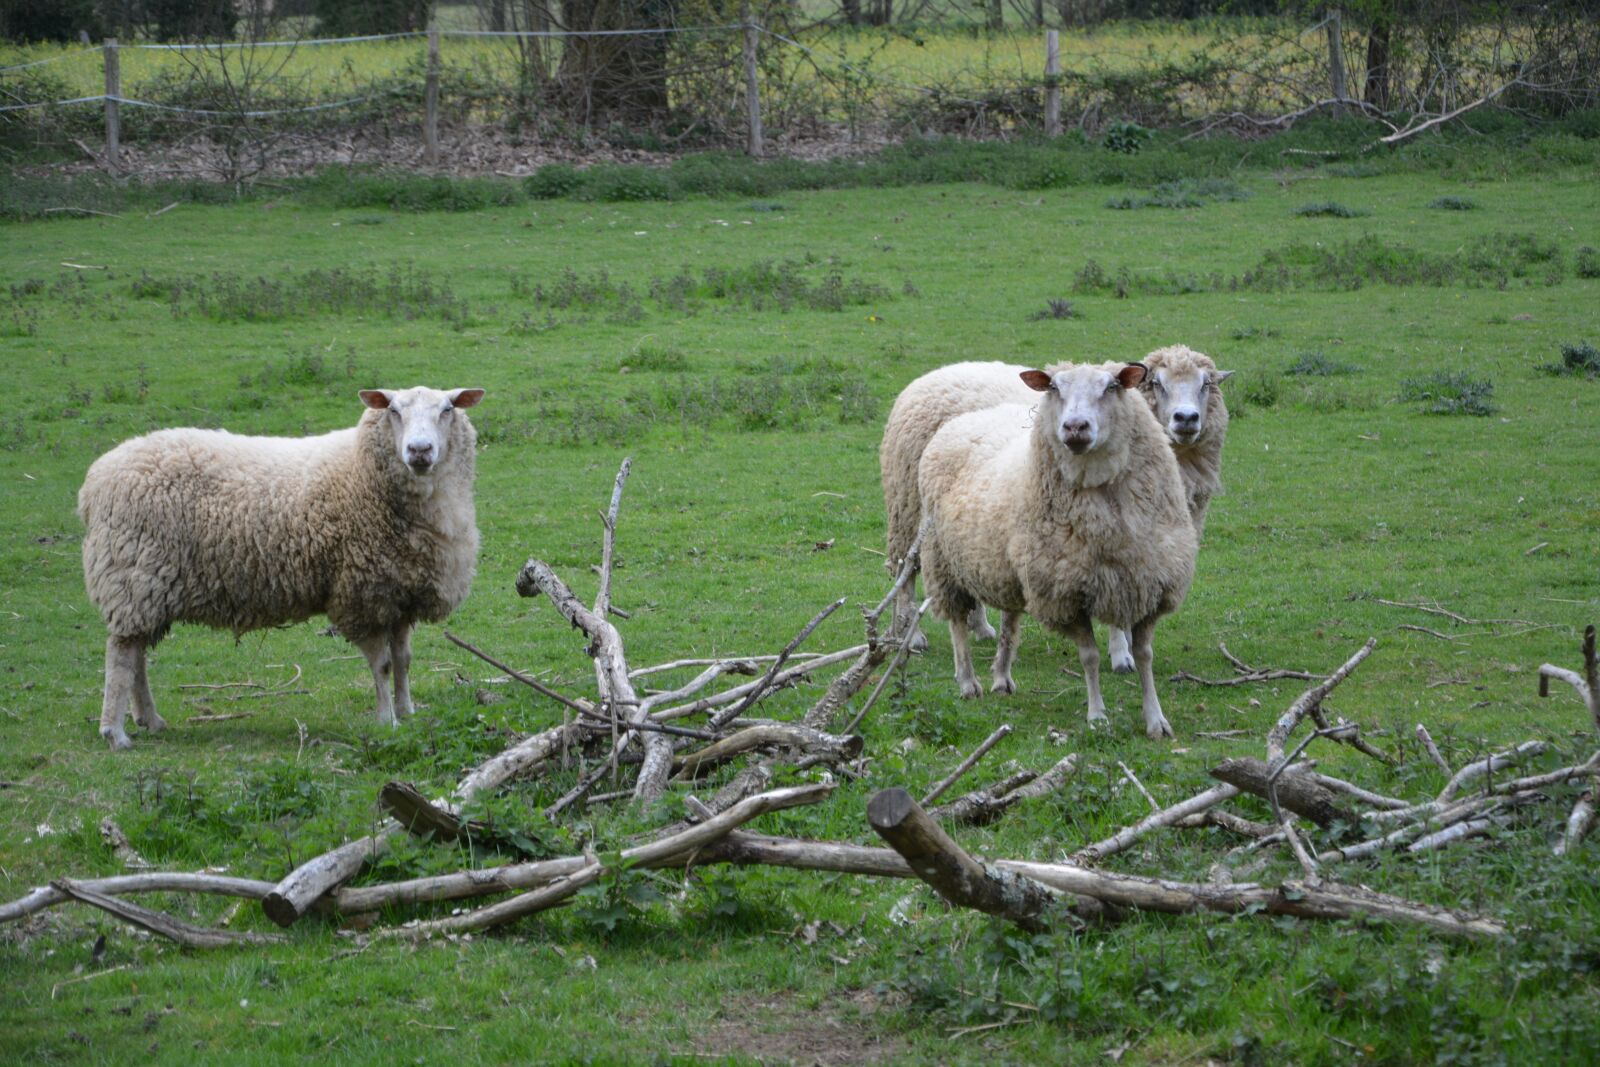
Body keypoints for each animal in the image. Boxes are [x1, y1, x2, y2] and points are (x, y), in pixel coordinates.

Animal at [78, 386, 485, 750]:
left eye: (447, 409)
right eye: (394, 411)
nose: (419, 451)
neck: (360, 472)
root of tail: (96, 478)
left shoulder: (401, 594)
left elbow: (403, 661)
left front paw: (407, 711)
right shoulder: (362, 594)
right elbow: (383, 664)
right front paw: (387, 720)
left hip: (149, 586)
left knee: (137, 655)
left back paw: (149, 719)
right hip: (132, 575)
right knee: (121, 654)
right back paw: (115, 732)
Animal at [917, 361, 1196, 738]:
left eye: (1111, 387)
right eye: (1053, 388)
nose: (1075, 426)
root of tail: (966, 419)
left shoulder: (1147, 587)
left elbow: (1144, 655)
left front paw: (1156, 719)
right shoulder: (1067, 595)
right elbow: (1090, 657)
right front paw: (1097, 715)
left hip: (1008, 569)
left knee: (1009, 622)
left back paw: (1002, 677)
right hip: (943, 561)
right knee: (958, 622)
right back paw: (967, 681)